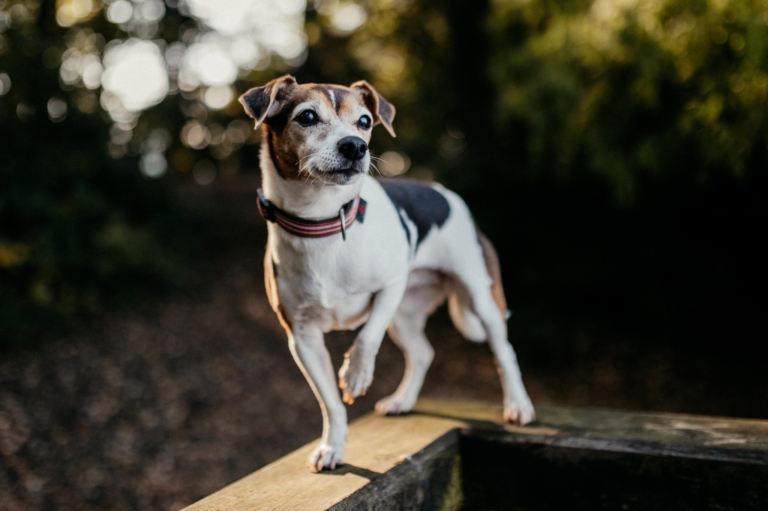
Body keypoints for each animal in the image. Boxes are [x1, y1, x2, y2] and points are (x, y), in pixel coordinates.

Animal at [240, 75, 536, 472]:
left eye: (364, 121)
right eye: (307, 117)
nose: (354, 146)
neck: (322, 223)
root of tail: (445, 193)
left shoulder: (391, 286)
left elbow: (366, 338)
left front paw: (356, 373)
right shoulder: (301, 338)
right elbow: (330, 403)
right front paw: (332, 446)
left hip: (478, 299)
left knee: (505, 352)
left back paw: (518, 406)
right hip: (404, 316)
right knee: (423, 353)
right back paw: (402, 400)